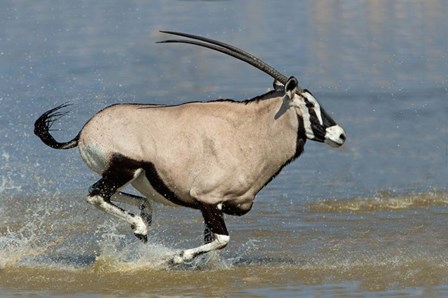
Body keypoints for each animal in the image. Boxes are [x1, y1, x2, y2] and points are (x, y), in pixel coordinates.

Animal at [34, 30, 346, 264]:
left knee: (122, 196)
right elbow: (222, 239)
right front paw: (174, 257)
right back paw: (140, 226)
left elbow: (213, 243)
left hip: (128, 175)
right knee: (95, 195)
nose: (340, 135)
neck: (249, 132)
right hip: (124, 168)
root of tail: (85, 130)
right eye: (309, 105)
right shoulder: (209, 201)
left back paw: (144, 219)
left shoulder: (216, 207)